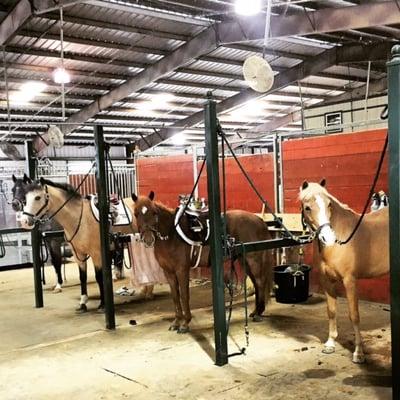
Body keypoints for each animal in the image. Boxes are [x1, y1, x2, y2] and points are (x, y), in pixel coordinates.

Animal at [131, 192, 276, 332]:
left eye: (154, 212)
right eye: (136, 214)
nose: (148, 239)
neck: (172, 235)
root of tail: (259, 221)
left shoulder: (182, 270)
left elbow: (184, 295)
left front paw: (185, 323)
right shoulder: (169, 272)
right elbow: (175, 296)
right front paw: (176, 322)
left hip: (253, 260)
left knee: (260, 282)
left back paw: (258, 313)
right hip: (244, 260)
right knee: (257, 284)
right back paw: (256, 311)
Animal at [300, 180, 388, 364]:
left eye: (329, 204)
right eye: (307, 207)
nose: (328, 238)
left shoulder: (350, 281)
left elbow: (354, 315)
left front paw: (359, 353)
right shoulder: (327, 281)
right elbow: (331, 311)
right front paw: (330, 343)